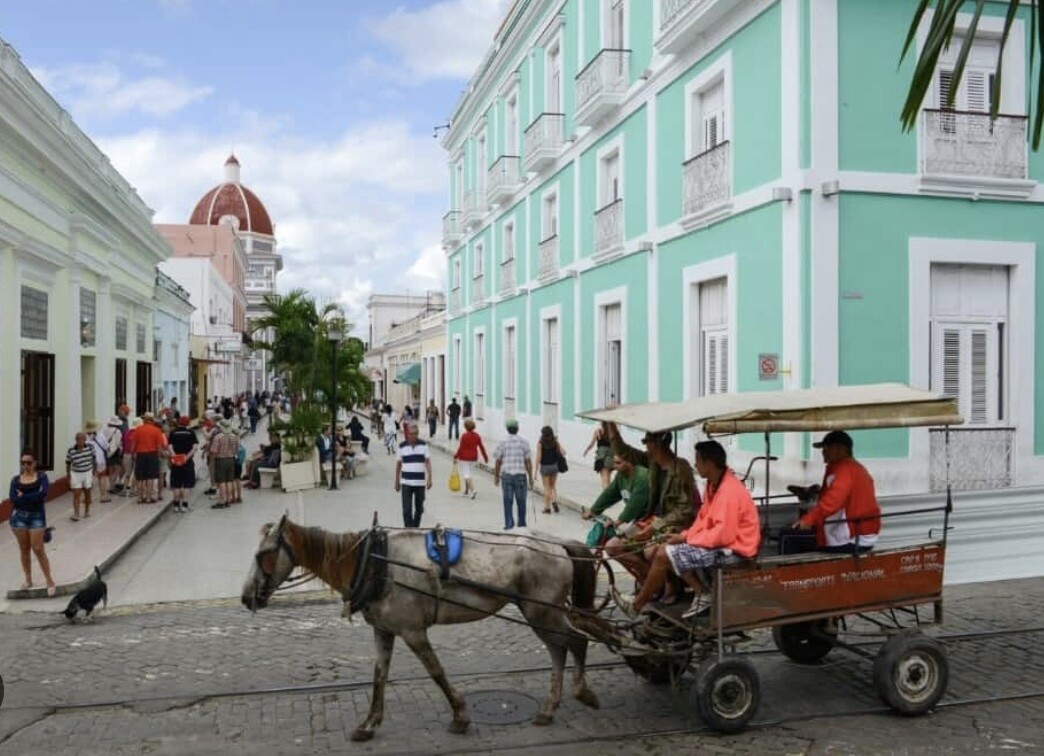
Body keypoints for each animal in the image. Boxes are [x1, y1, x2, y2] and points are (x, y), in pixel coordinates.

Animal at [241, 515, 601, 741]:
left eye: (264, 554)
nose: (246, 597)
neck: (374, 562)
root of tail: (557, 543)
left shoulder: (413, 631)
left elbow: (436, 672)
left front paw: (460, 716)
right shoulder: (384, 630)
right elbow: (379, 676)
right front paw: (369, 723)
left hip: (542, 611)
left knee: (574, 642)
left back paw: (580, 692)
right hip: (540, 613)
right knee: (560, 649)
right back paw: (551, 707)